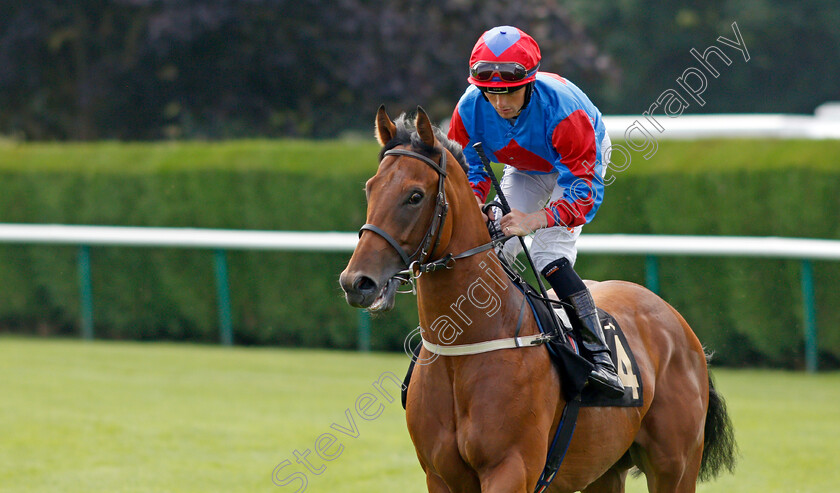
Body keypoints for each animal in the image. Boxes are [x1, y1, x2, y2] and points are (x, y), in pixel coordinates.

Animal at [336, 105, 736, 490]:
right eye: (370, 188)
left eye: (415, 195)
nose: (357, 282)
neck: (463, 350)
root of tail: (679, 324)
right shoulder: (440, 475)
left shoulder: (511, 468)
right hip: (604, 470)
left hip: (675, 466)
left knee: (555, 259)